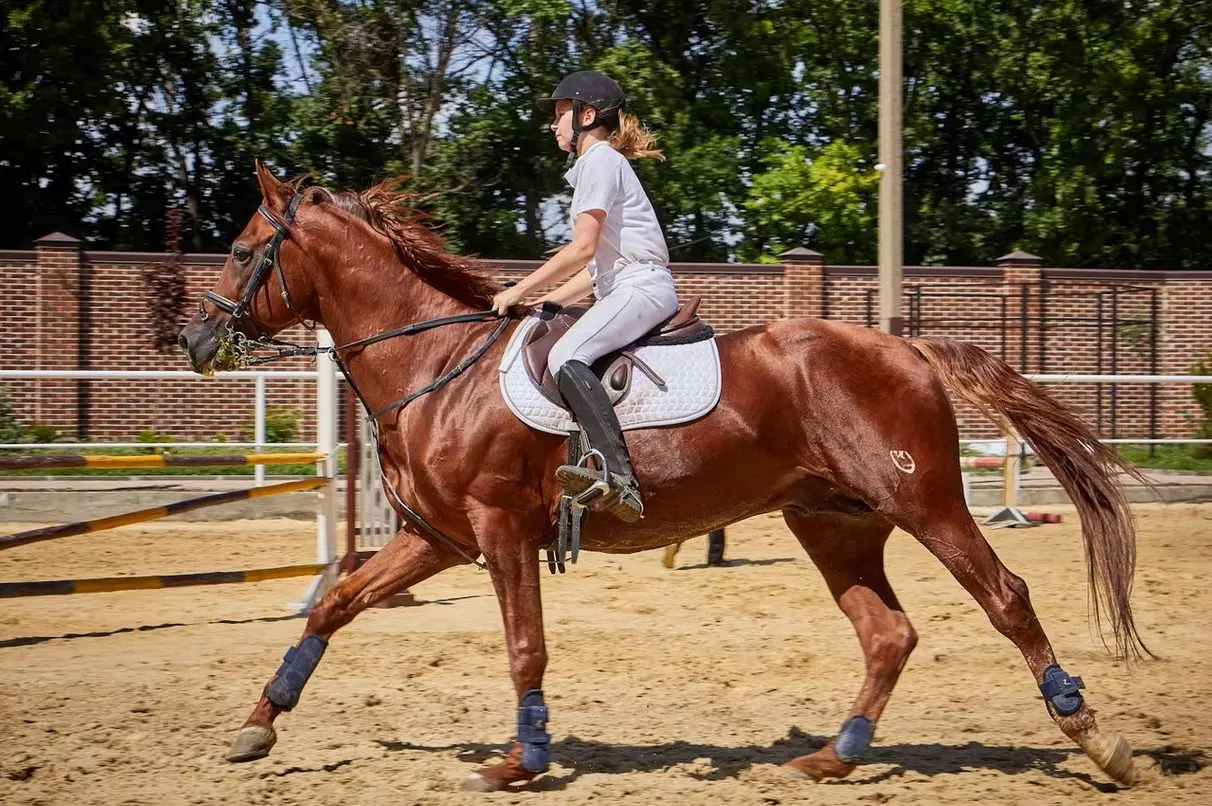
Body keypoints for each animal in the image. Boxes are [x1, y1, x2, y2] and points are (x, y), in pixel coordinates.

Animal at [177, 164, 1148, 791]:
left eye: (241, 250)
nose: (193, 340)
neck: (435, 365)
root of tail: (904, 346)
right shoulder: (439, 540)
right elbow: (334, 604)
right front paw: (260, 723)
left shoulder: (498, 531)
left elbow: (524, 645)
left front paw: (521, 760)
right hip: (834, 522)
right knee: (887, 634)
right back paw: (836, 754)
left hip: (925, 501)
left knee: (1006, 599)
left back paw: (1097, 740)